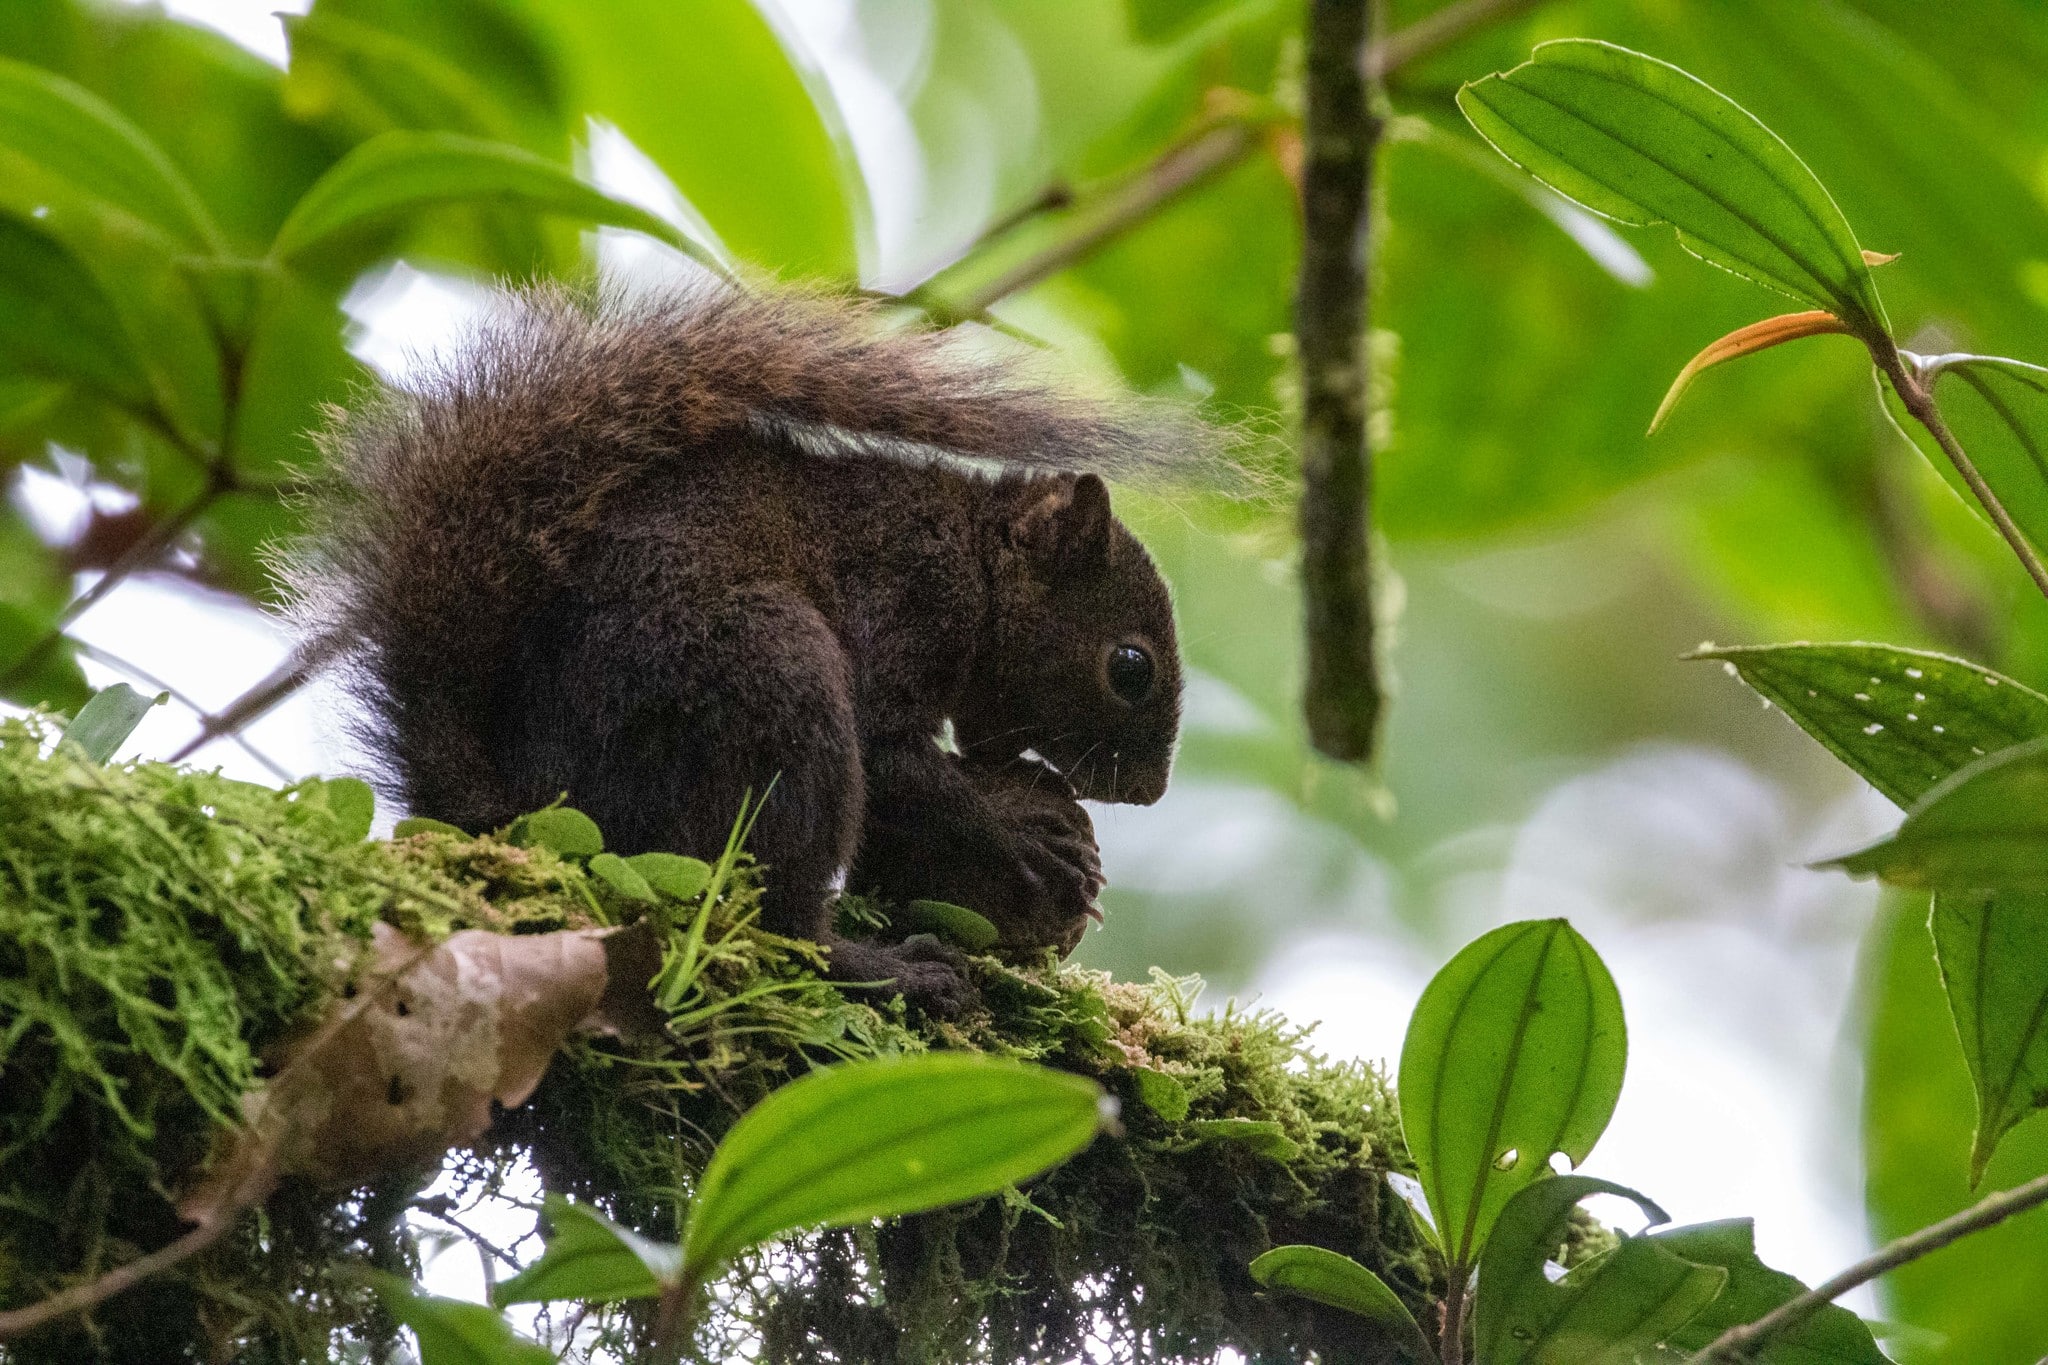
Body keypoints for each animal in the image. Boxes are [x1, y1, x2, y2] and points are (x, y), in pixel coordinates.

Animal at [287, 284, 1189, 1013]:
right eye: (1130, 667)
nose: (1148, 792)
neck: (972, 556)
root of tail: (530, 807)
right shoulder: (904, 596)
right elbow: (892, 754)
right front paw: (1024, 835)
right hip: (773, 674)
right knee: (784, 923)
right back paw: (885, 967)